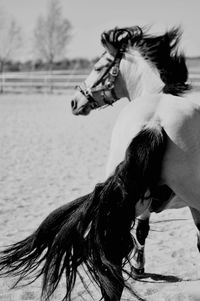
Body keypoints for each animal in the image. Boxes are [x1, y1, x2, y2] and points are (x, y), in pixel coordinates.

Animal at [0, 25, 200, 300]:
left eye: (97, 67)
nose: (75, 101)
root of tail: (155, 120)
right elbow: (142, 231)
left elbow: (142, 231)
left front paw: (138, 267)